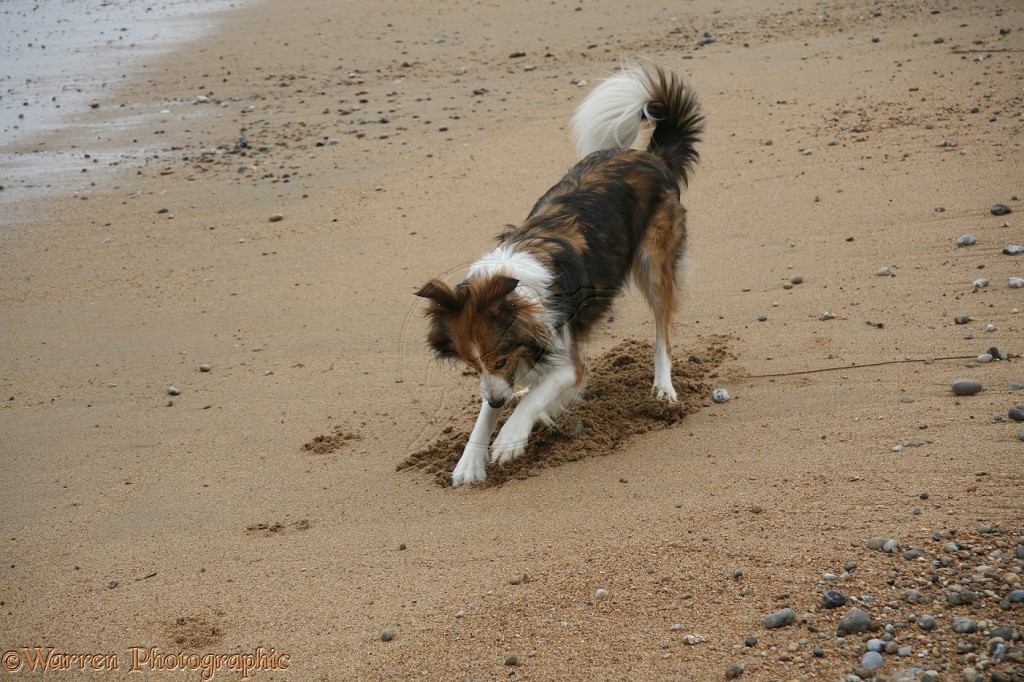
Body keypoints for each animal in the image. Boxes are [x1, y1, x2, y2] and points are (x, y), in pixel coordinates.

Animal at [415, 62, 704, 483]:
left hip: (655, 265)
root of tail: (651, 157)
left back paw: (663, 389)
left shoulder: (566, 361)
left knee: (662, 334)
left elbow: (534, 398)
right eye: (471, 366)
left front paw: (510, 438)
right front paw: (470, 459)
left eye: (499, 359)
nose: (499, 399)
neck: (515, 290)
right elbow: (490, 412)